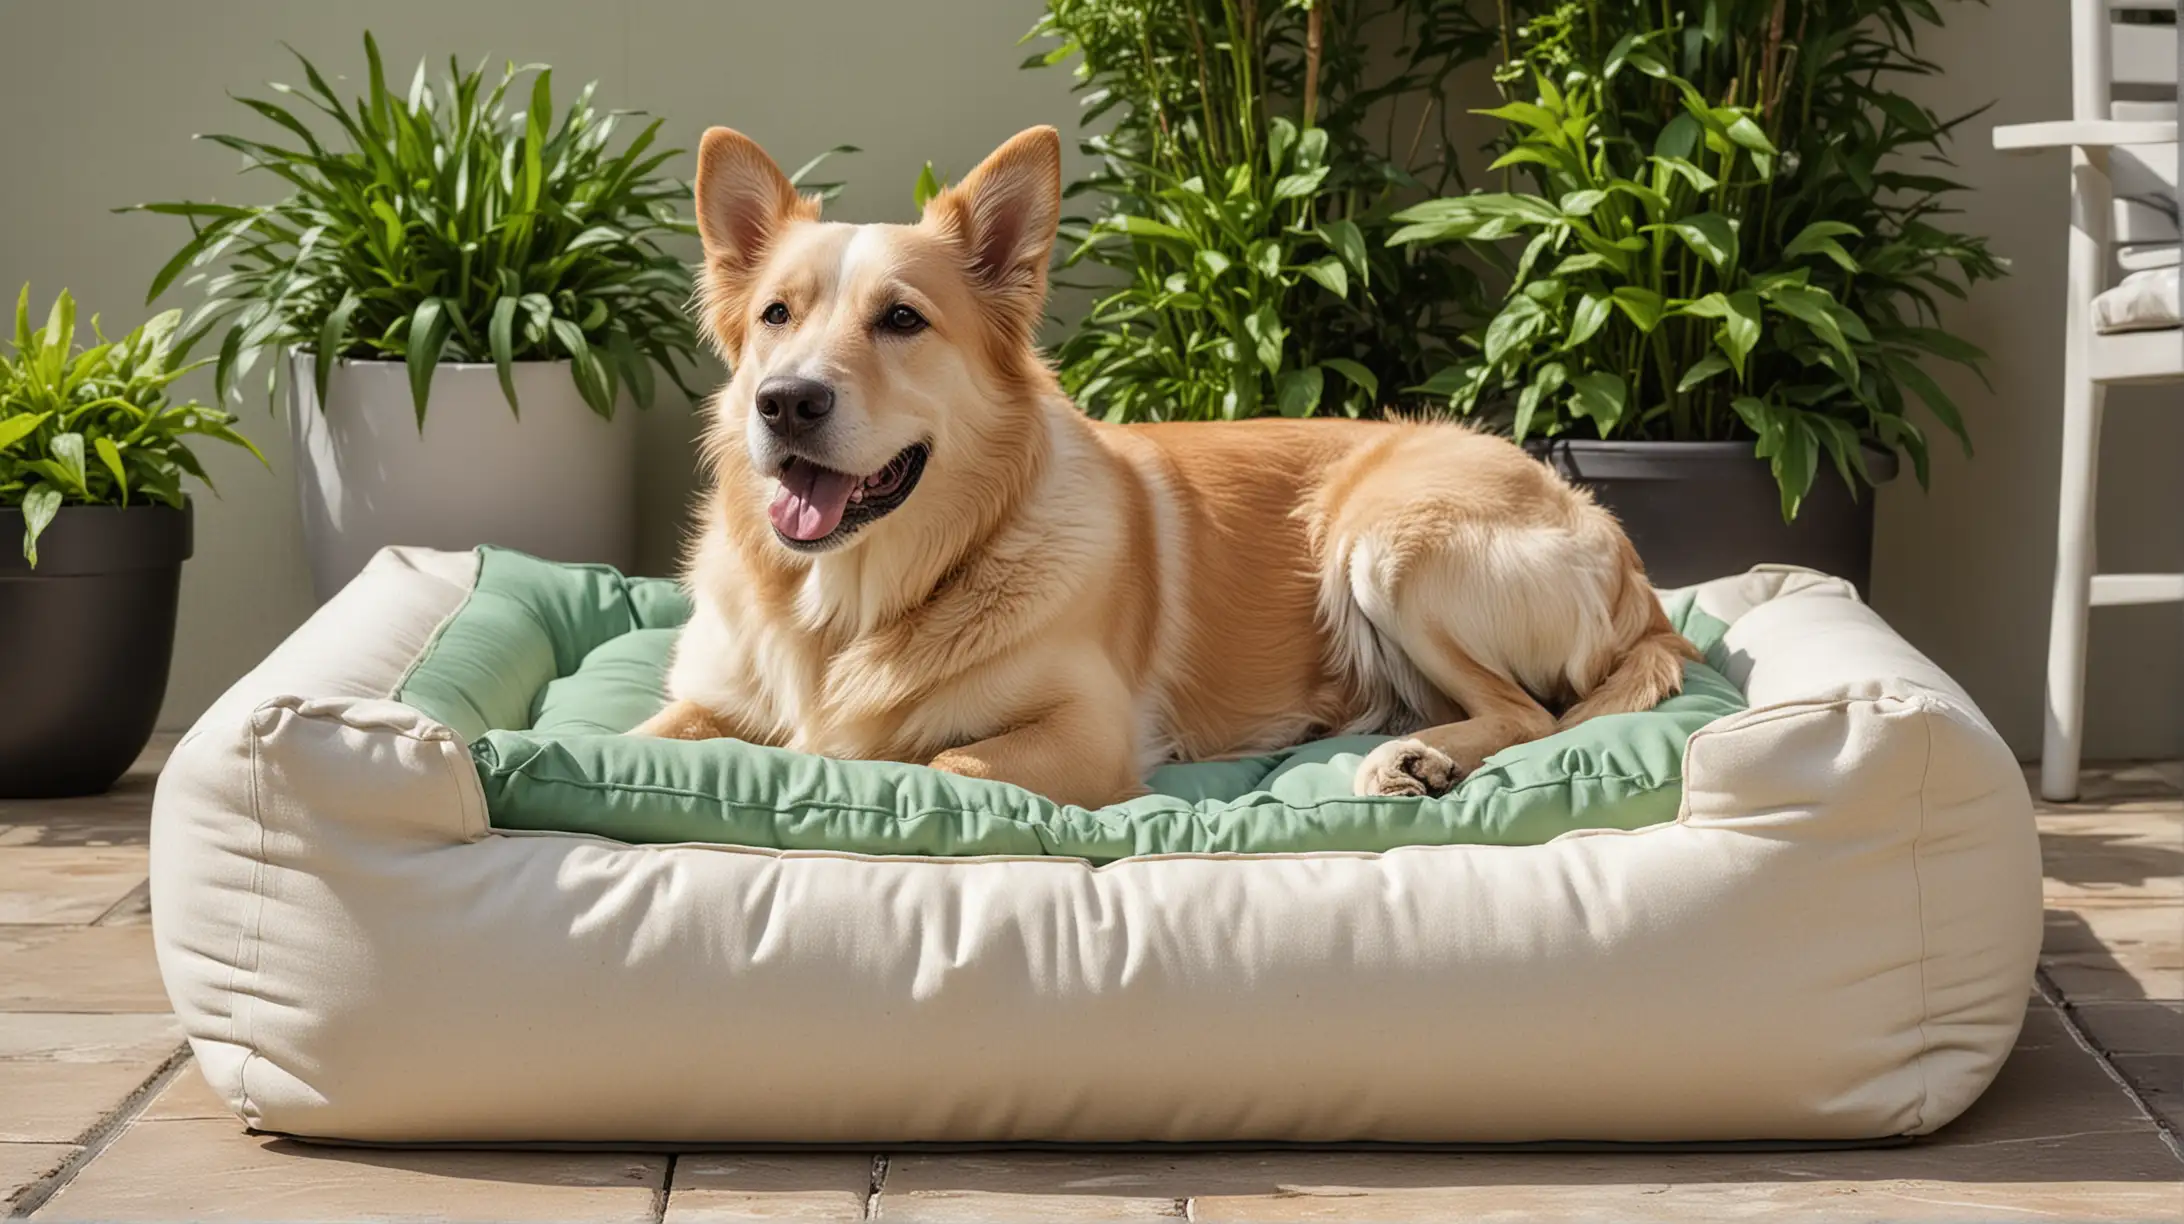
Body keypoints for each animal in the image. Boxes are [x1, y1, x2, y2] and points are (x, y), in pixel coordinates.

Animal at [637, 126, 1694, 813]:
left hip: (1385, 540)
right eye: (776, 315)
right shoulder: (703, 708)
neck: (849, 604)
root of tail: (1638, 577)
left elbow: (936, 769)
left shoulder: (1086, 733)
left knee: (1529, 713)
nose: (786, 403)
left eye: (902, 319)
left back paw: (1411, 759)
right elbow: (626, 740)